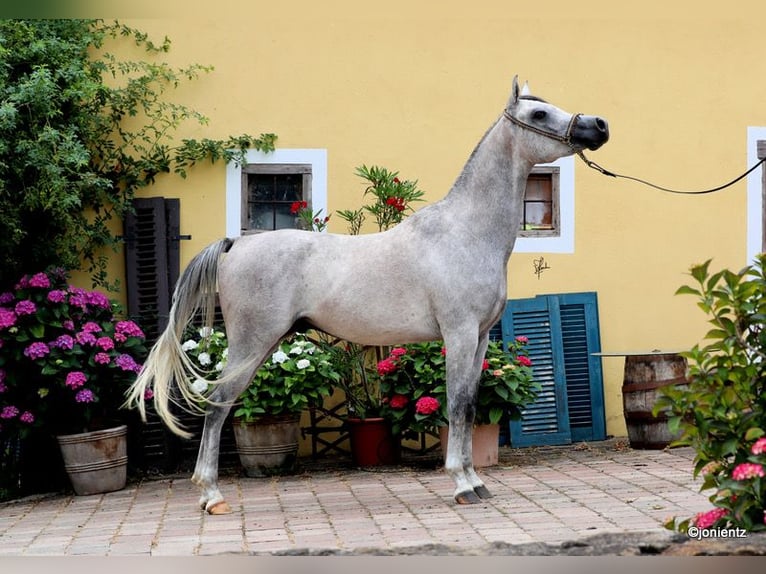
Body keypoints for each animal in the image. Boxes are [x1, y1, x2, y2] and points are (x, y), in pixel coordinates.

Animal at [126, 76, 609, 515]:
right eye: (539, 114)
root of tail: (235, 245)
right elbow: (455, 405)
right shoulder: (458, 334)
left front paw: (476, 481)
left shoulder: (479, 339)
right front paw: (460, 484)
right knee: (218, 405)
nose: (599, 126)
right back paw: (211, 496)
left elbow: (469, 406)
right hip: (251, 343)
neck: (465, 231)